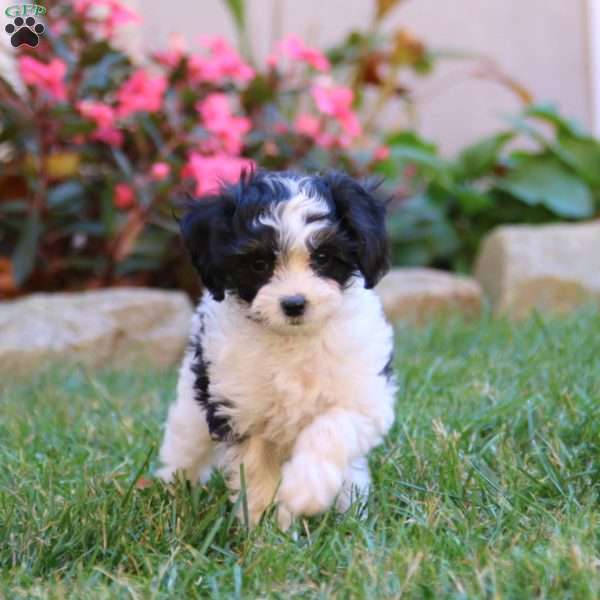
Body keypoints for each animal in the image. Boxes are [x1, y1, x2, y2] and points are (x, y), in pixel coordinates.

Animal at [157, 171, 396, 528]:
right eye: (259, 263)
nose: (294, 304)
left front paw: (306, 489)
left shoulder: (363, 397)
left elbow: (332, 428)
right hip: (192, 403)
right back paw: (173, 495)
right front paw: (267, 529)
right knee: (185, 448)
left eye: (322, 257)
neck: (292, 341)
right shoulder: (241, 413)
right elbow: (257, 475)